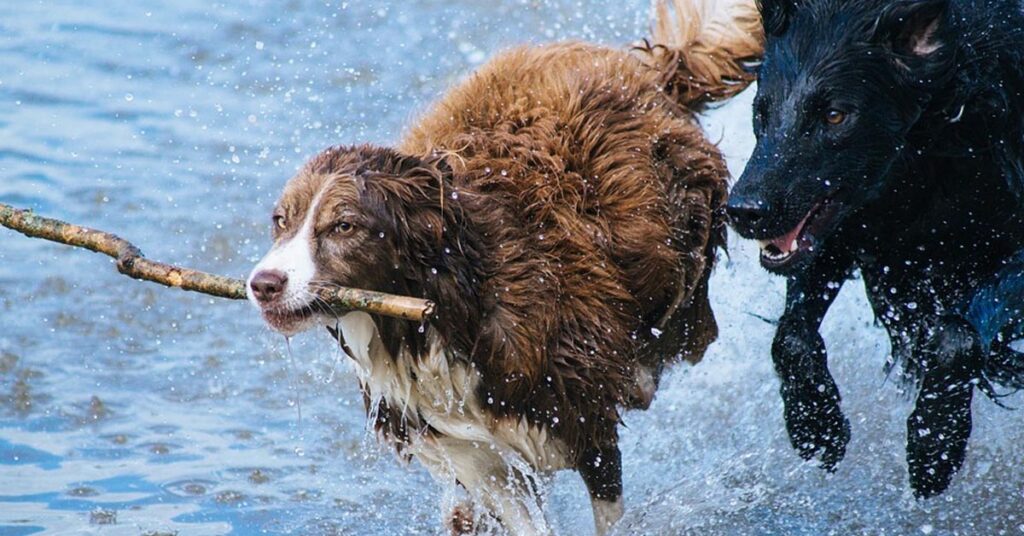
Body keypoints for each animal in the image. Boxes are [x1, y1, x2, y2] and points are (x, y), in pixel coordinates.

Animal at [245, 2, 761, 532]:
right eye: (281, 221)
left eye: (344, 226)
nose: (262, 284)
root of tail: (649, 70)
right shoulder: (473, 451)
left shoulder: (584, 418)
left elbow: (607, 503)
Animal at [724, 0, 1024, 500]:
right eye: (761, 110)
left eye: (834, 116)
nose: (744, 210)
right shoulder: (847, 228)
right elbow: (791, 336)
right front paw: (816, 426)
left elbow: (956, 335)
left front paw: (934, 444)